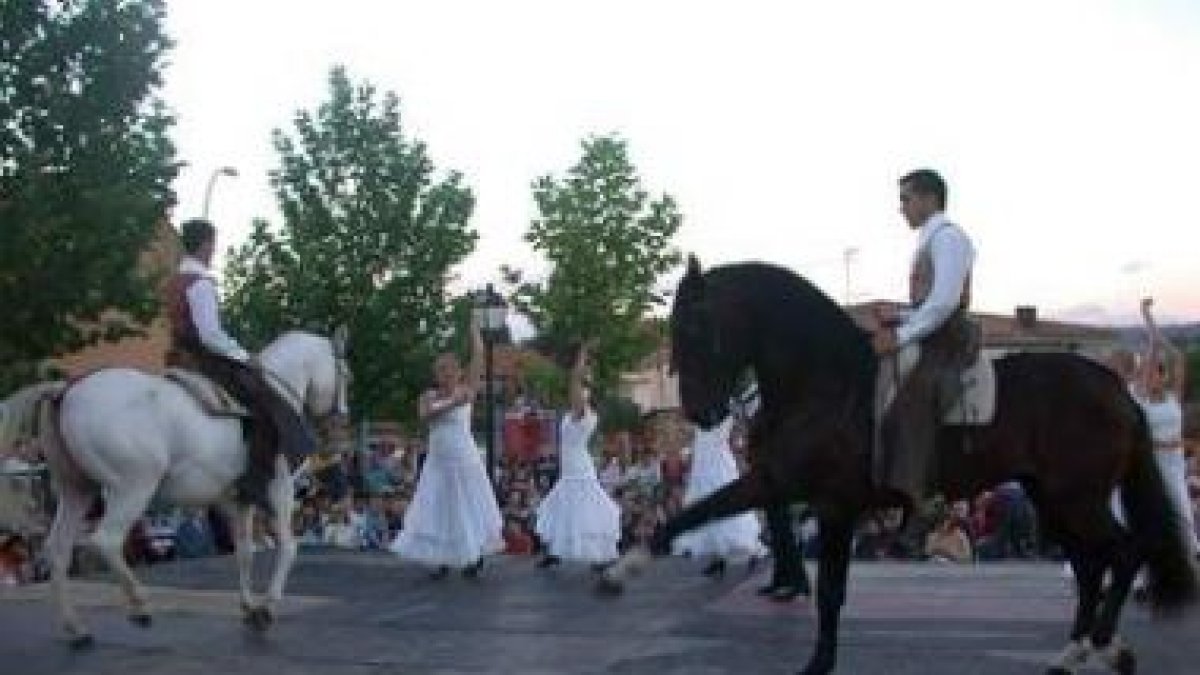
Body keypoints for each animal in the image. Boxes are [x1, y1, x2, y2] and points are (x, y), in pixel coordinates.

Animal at [0, 329, 348, 643]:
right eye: (346, 373)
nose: (339, 424)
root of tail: (64, 390)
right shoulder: (281, 490)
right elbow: (288, 547)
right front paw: (267, 608)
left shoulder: (239, 501)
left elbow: (244, 552)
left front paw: (249, 607)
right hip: (133, 487)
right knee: (107, 540)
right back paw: (139, 606)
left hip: (76, 490)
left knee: (58, 549)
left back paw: (76, 628)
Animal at [595, 254, 1195, 667]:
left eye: (695, 328)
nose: (699, 411)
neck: (827, 383)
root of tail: (1115, 388)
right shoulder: (775, 480)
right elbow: (694, 513)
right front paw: (623, 568)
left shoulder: (834, 504)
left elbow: (831, 591)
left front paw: (818, 664)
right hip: (1052, 499)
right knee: (1093, 564)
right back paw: (1075, 651)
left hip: (1075, 497)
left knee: (1126, 551)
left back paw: (1102, 644)